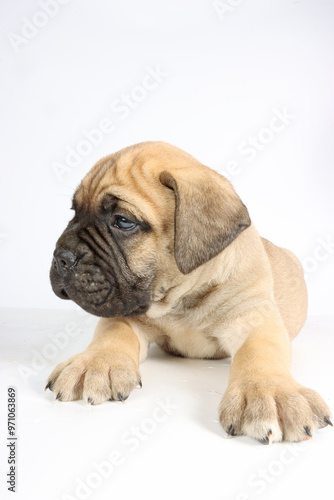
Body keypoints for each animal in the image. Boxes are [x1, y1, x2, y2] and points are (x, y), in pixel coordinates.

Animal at [47, 143, 332, 444]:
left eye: (123, 222)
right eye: (74, 212)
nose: (61, 257)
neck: (180, 298)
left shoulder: (253, 316)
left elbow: (261, 352)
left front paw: (270, 392)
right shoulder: (125, 313)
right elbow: (112, 334)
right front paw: (94, 363)